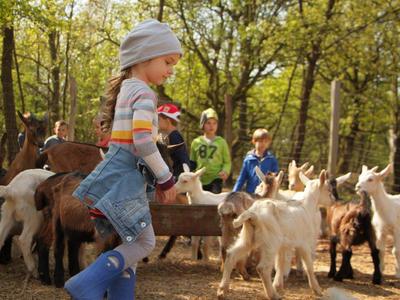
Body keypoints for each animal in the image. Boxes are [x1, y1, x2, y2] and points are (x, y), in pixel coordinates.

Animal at [217, 170, 332, 298]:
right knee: (263, 268)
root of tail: (253, 214)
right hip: (271, 243)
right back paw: (273, 295)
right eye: (328, 189)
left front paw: (278, 286)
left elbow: (280, 264)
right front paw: (317, 290)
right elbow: (309, 266)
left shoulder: (284, 246)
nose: (333, 201)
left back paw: (222, 290)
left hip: (248, 238)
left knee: (231, 255)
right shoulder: (304, 243)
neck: (306, 207)